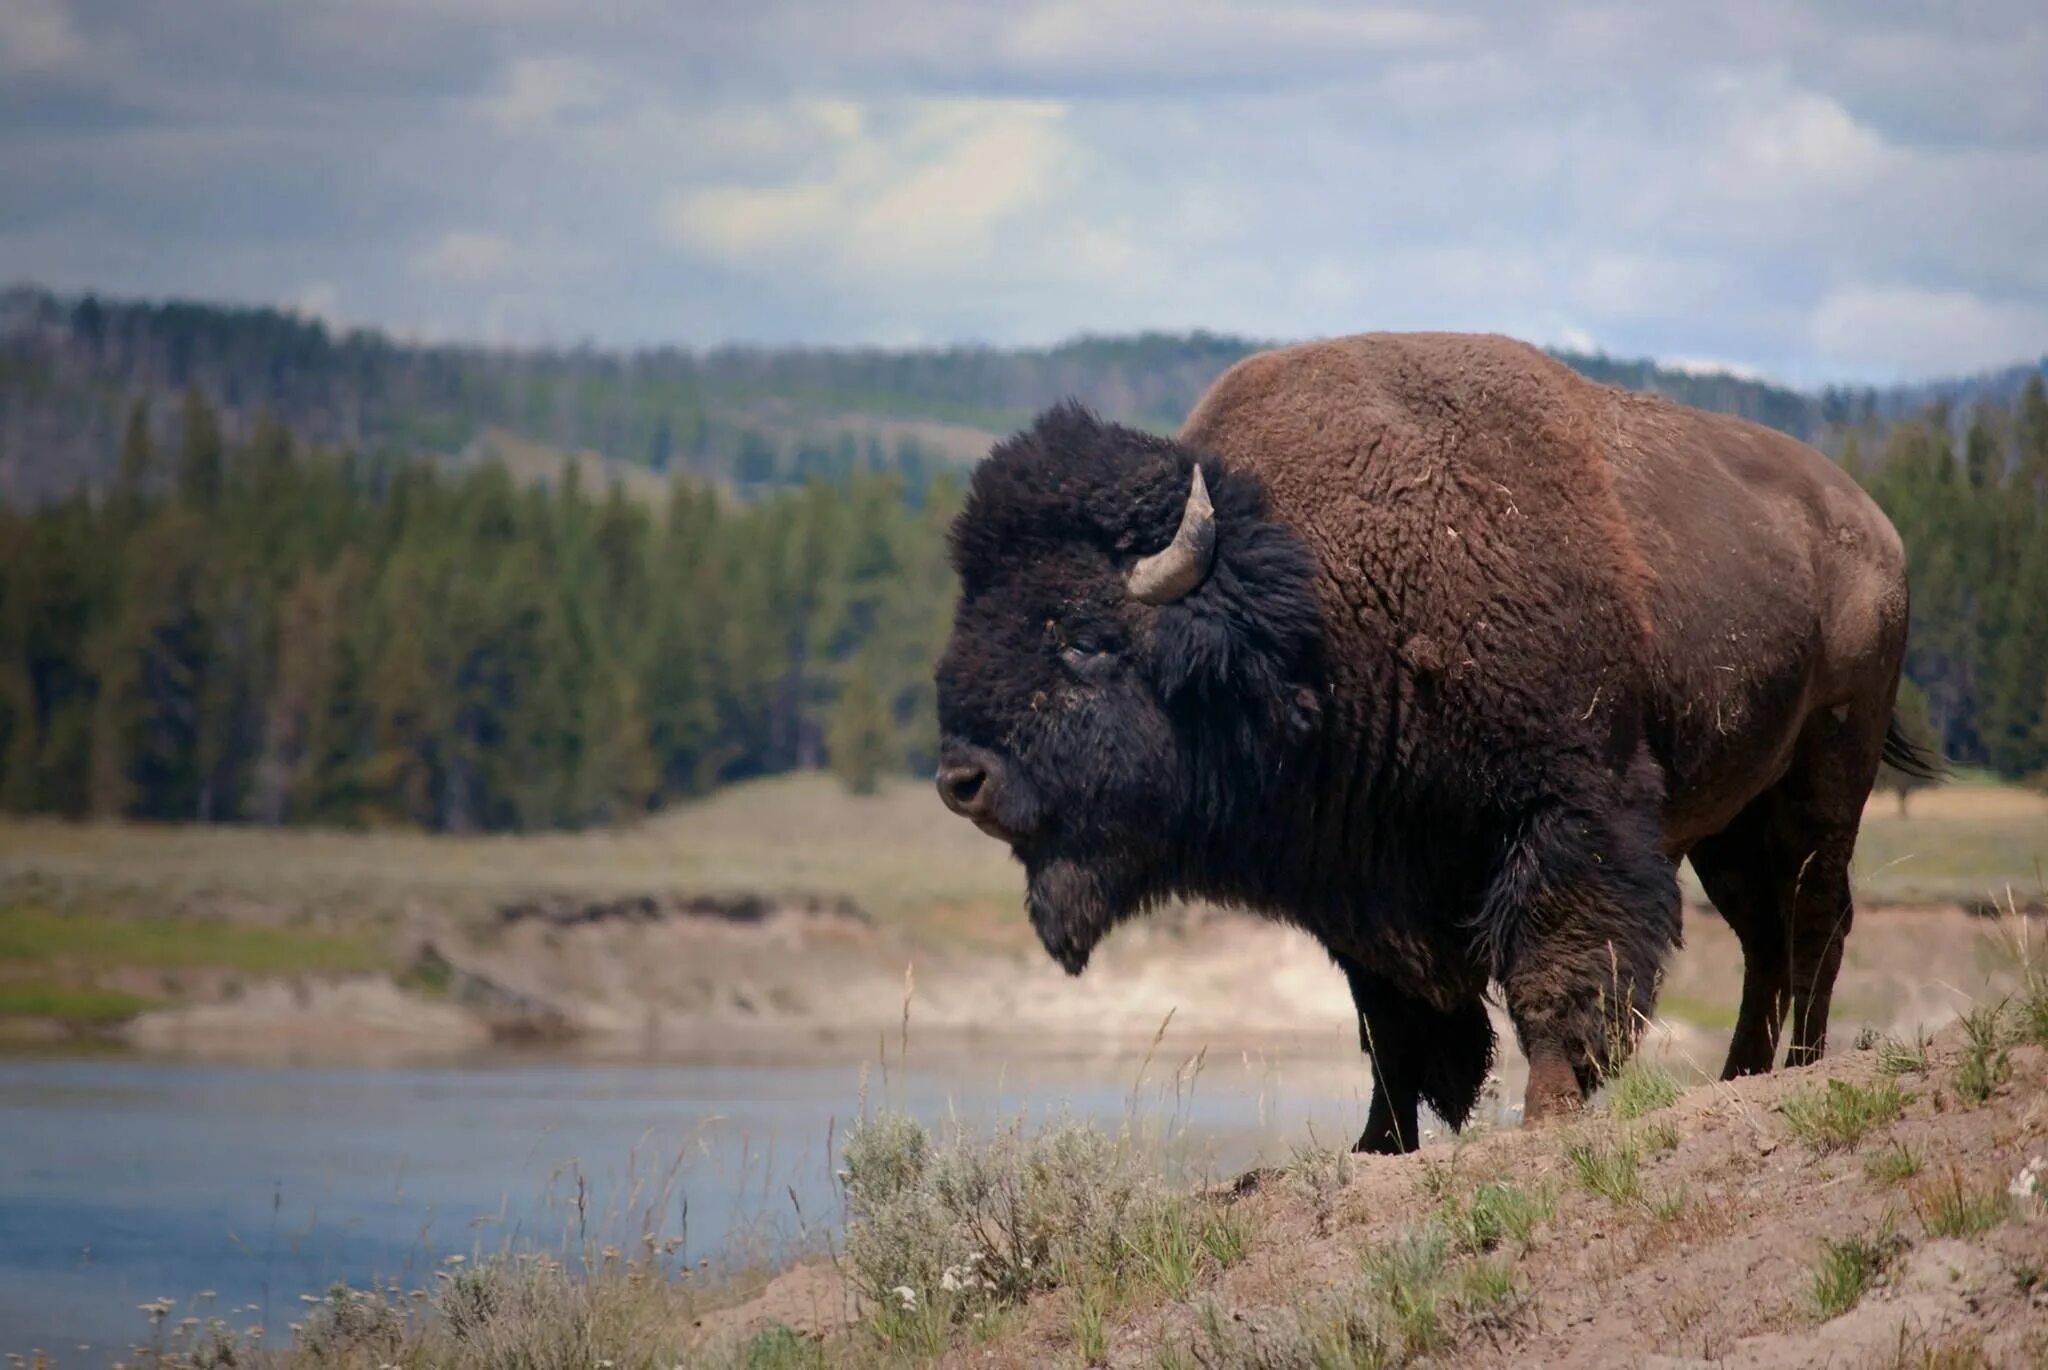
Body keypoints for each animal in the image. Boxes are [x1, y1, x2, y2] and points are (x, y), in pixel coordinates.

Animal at [933, 333, 1933, 1154]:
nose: (961, 779)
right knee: (1766, 934)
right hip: (1732, 820)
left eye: (1084, 639)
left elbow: (1552, 975)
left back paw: (1800, 1069)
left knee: (1815, 918)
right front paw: (1378, 1145)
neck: (1311, 606)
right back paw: (1740, 1075)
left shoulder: (1567, 815)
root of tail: (1874, 526)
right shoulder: (1360, 884)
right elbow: (1393, 1028)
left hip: (1824, 780)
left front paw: (1546, 1117)